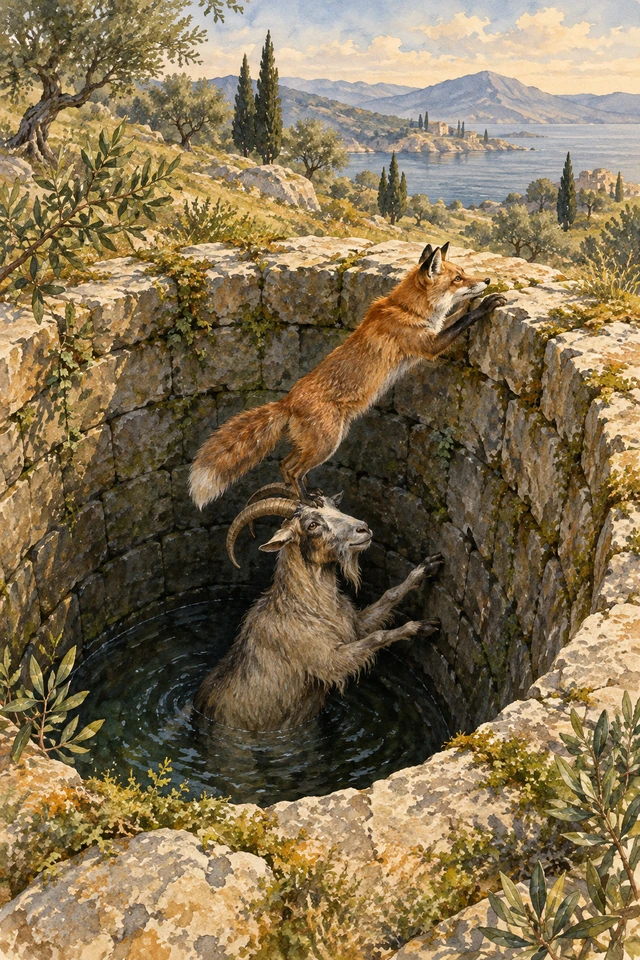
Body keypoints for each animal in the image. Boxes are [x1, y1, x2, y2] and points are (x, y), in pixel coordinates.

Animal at [190, 242, 507, 507]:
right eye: (458, 279)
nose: (487, 281)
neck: (407, 308)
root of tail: (286, 402)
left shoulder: (431, 334)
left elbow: (455, 317)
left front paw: (475, 302)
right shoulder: (428, 345)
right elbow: (462, 321)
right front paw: (484, 305)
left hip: (322, 441)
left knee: (285, 465)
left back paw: (305, 492)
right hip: (327, 443)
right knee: (292, 468)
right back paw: (306, 499)